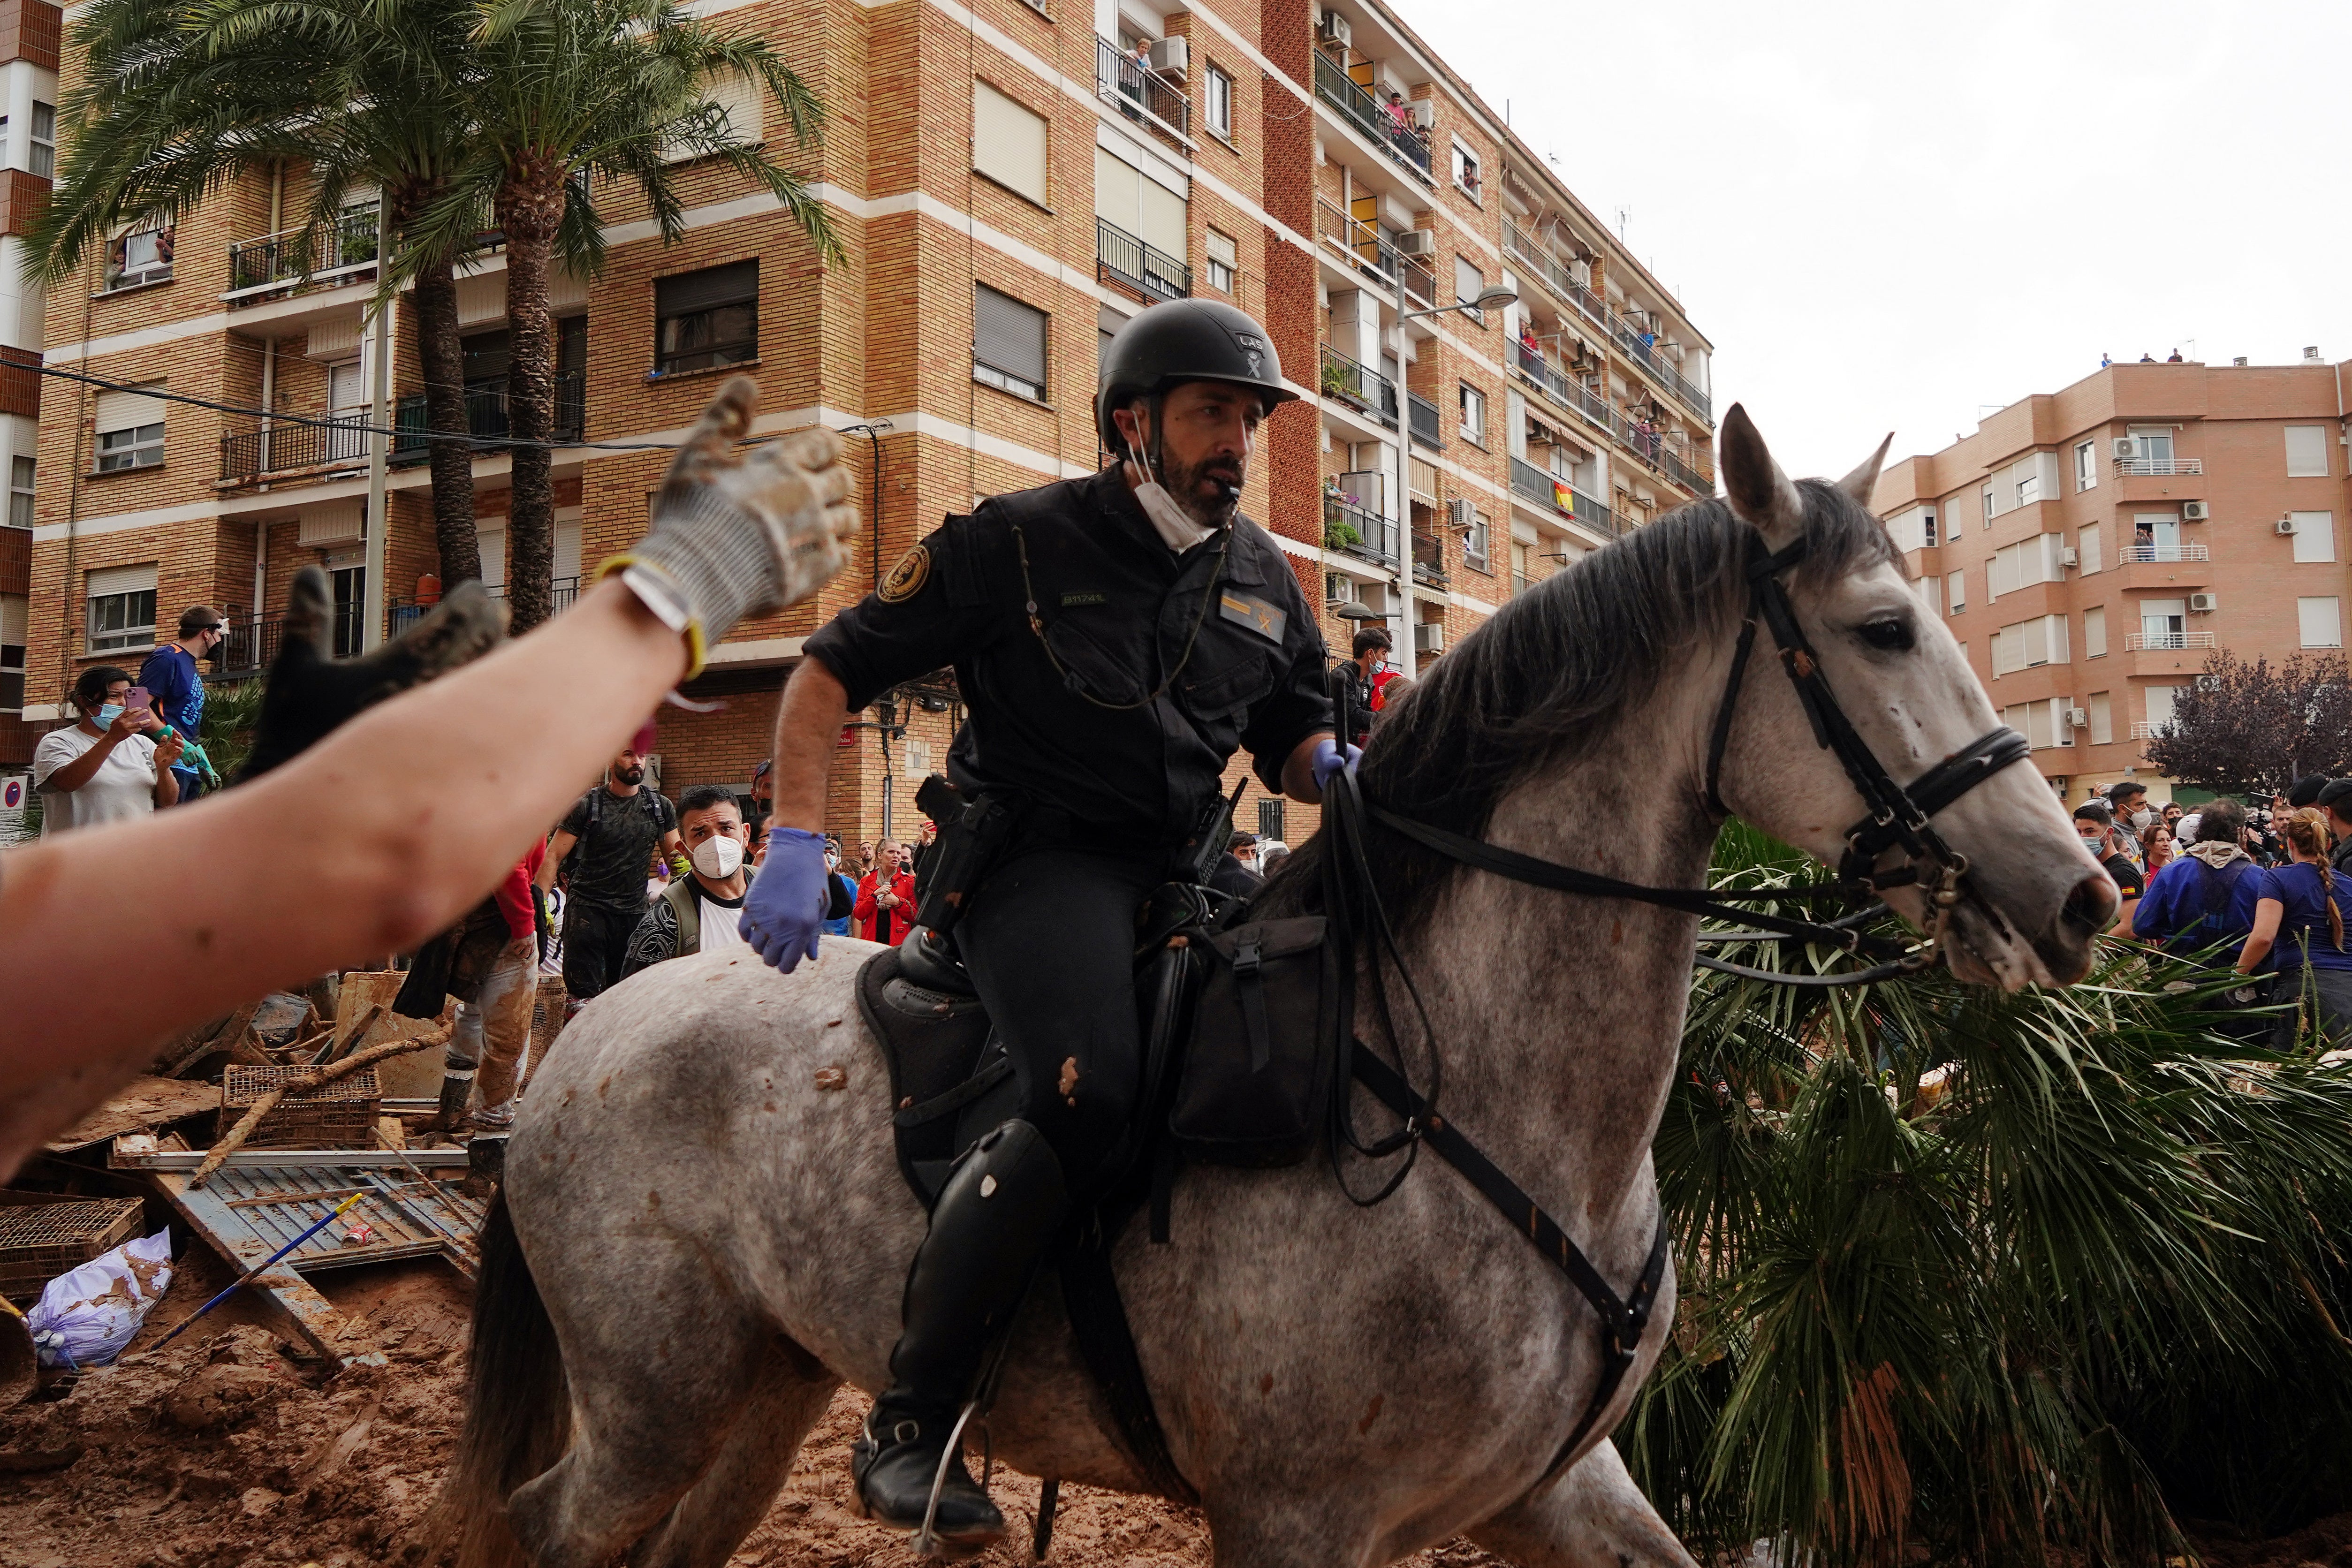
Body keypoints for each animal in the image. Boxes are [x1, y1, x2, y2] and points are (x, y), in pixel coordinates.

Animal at [442, 414, 2117, 1568]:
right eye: (1884, 629)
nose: (2081, 896)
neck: (1482, 1097)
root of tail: (589, 1029)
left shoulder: (1558, 1487)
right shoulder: (1294, 1515)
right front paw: (792, 869)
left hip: (760, 1389)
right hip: (652, 1400)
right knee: (545, 1521)